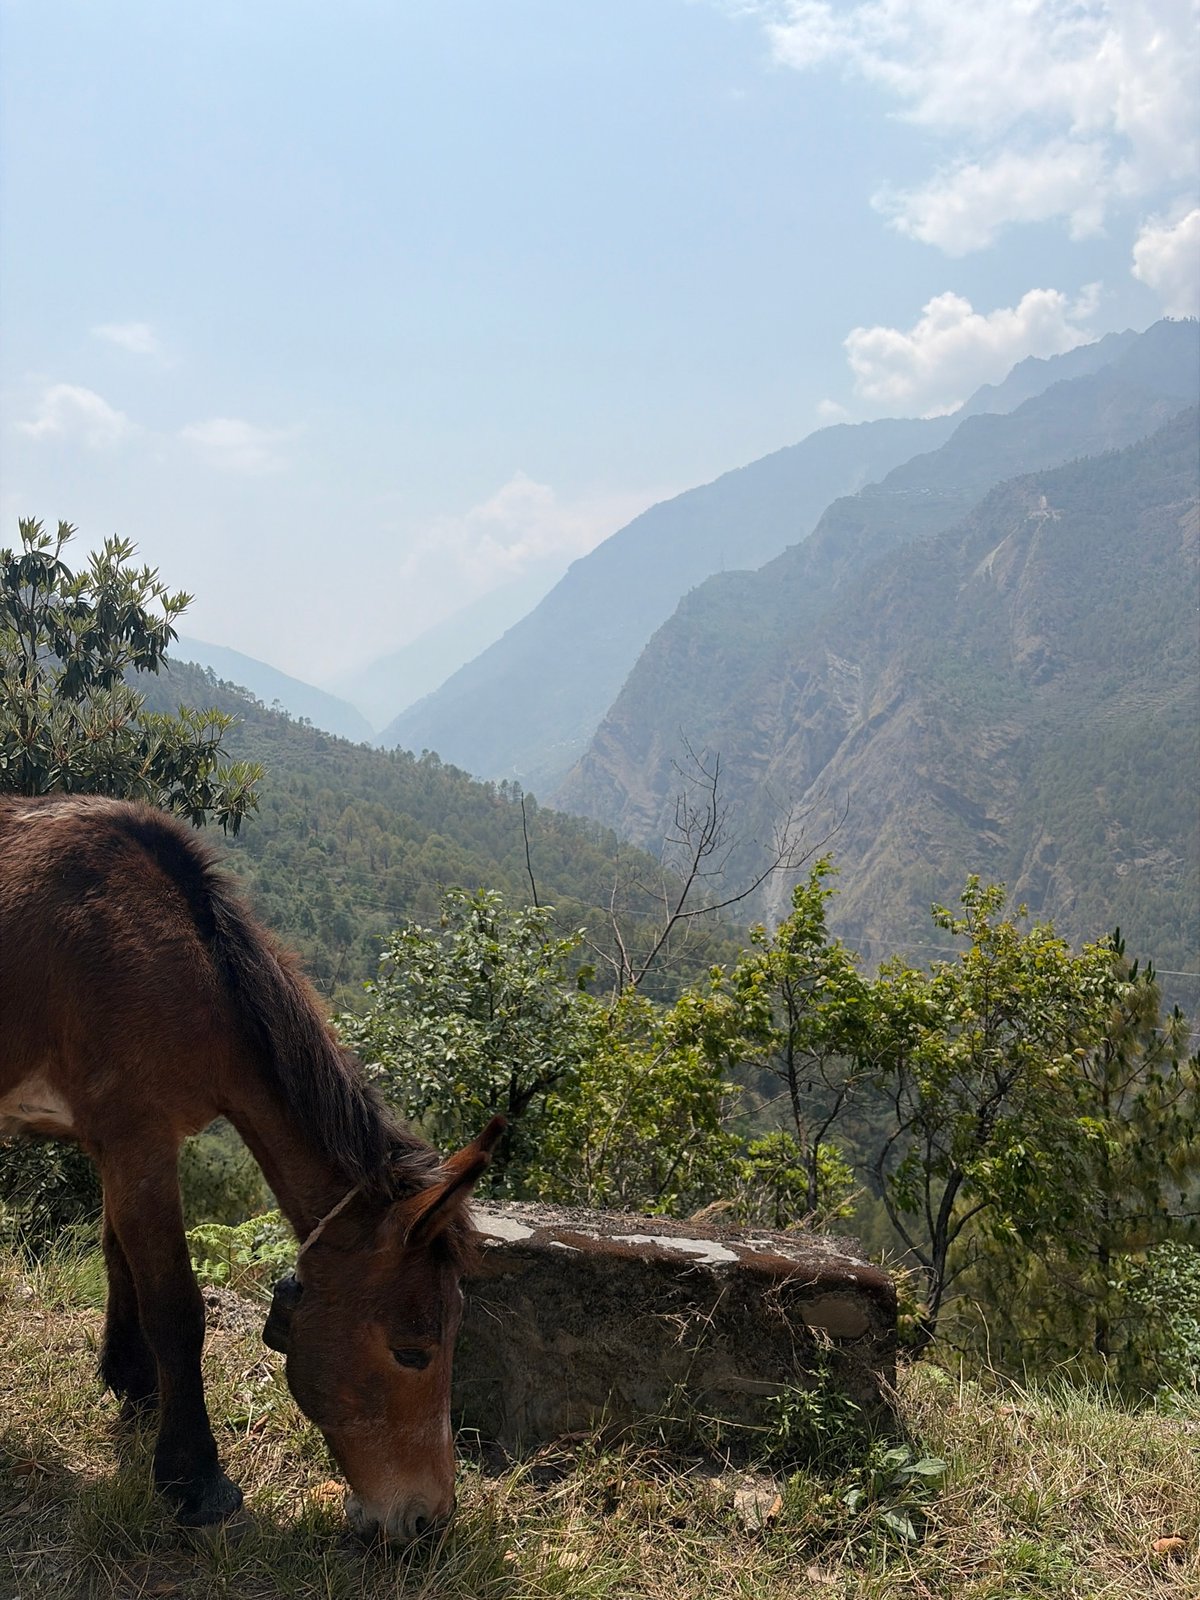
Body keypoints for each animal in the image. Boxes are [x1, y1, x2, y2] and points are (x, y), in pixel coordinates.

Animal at [0, 794, 503, 1537]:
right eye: (412, 1350)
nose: (427, 1520)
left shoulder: (122, 1143)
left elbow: (118, 1256)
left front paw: (134, 1386)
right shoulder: (139, 1140)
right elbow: (176, 1306)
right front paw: (193, 1478)